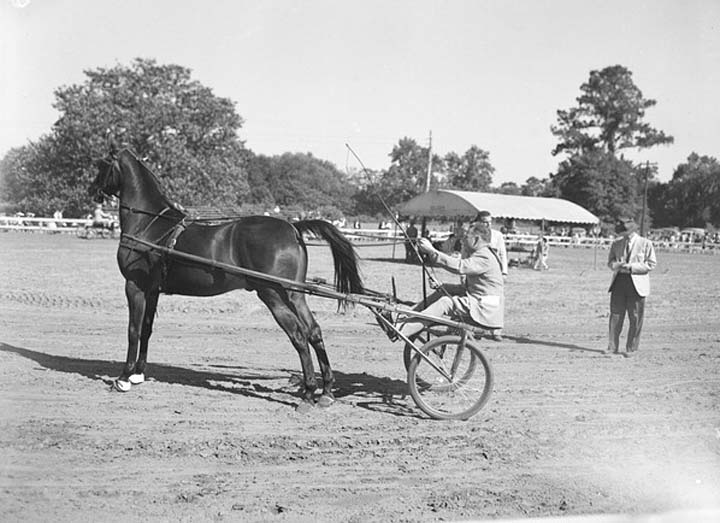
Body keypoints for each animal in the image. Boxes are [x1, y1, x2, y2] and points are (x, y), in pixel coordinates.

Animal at [87, 145, 362, 412]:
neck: (150, 223)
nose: (92, 191)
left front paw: (123, 378)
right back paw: (326, 391)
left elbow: (133, 330)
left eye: (102, 165)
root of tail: (292, 227)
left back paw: (308, 393)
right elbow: (146, 329)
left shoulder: (134, 286)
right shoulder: (152, 290)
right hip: (294, 295)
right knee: (313, 331)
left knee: (298, 335)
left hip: (272, 294)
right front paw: (138, 374)